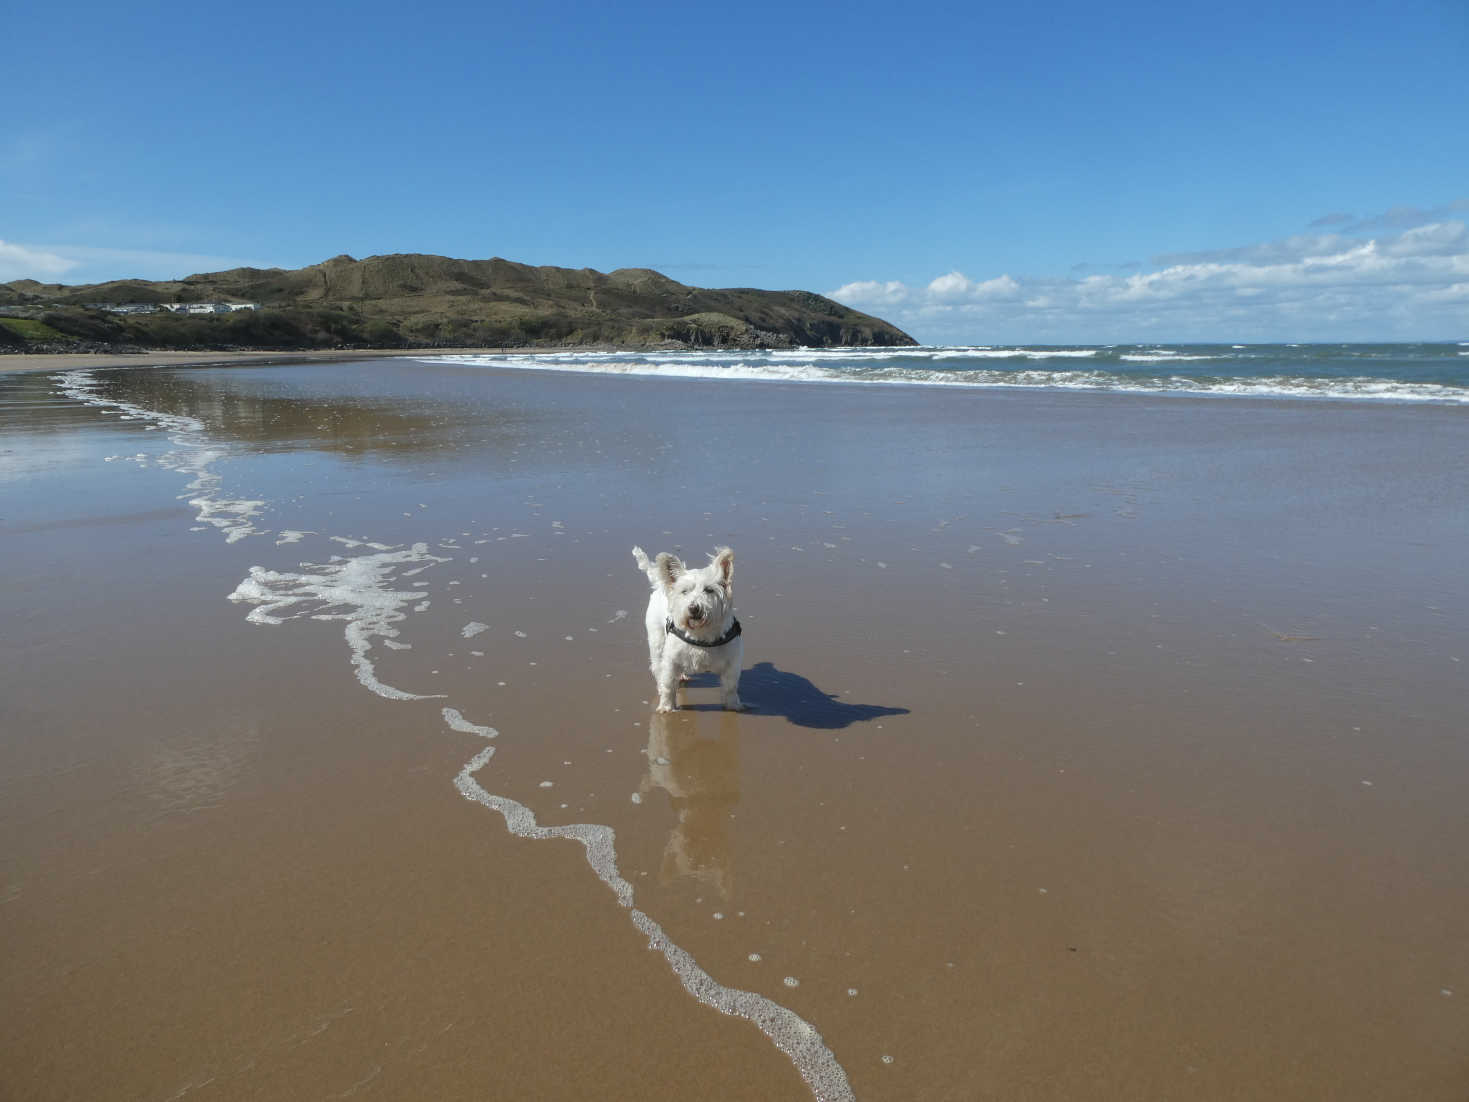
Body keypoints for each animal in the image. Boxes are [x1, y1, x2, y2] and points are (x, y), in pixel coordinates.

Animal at [631, 546, 746, 717]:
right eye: (684, 591)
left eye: (709, 590)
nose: (693, 608)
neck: (701, 633)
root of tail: (660, 585)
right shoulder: (671, 661)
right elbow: (668, 685)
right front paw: (666, 706)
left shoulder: (732, 662)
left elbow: (731, 687)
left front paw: (734, 705)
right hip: (657, 641)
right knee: (658, 667)